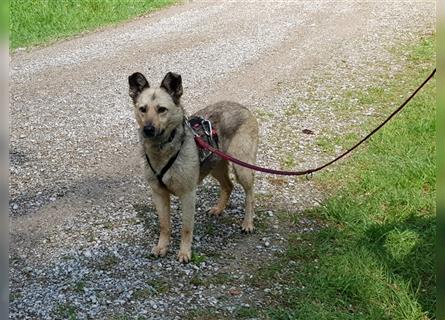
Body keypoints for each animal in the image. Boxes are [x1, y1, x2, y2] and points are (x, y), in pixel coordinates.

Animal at [128, 72, 258, 262]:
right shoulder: (159, 194)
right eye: (142, 109)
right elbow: (164, 225)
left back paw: (247, 223)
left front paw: (184, 252)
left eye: (162, 109)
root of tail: (242, 107)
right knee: (228, 186)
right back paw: (218, 209)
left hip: (242, 168)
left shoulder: (188, 195)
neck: (162, 149)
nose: (148, 129)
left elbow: (186, 228)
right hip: (215, 166)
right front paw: (162, 247)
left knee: (249, 195)